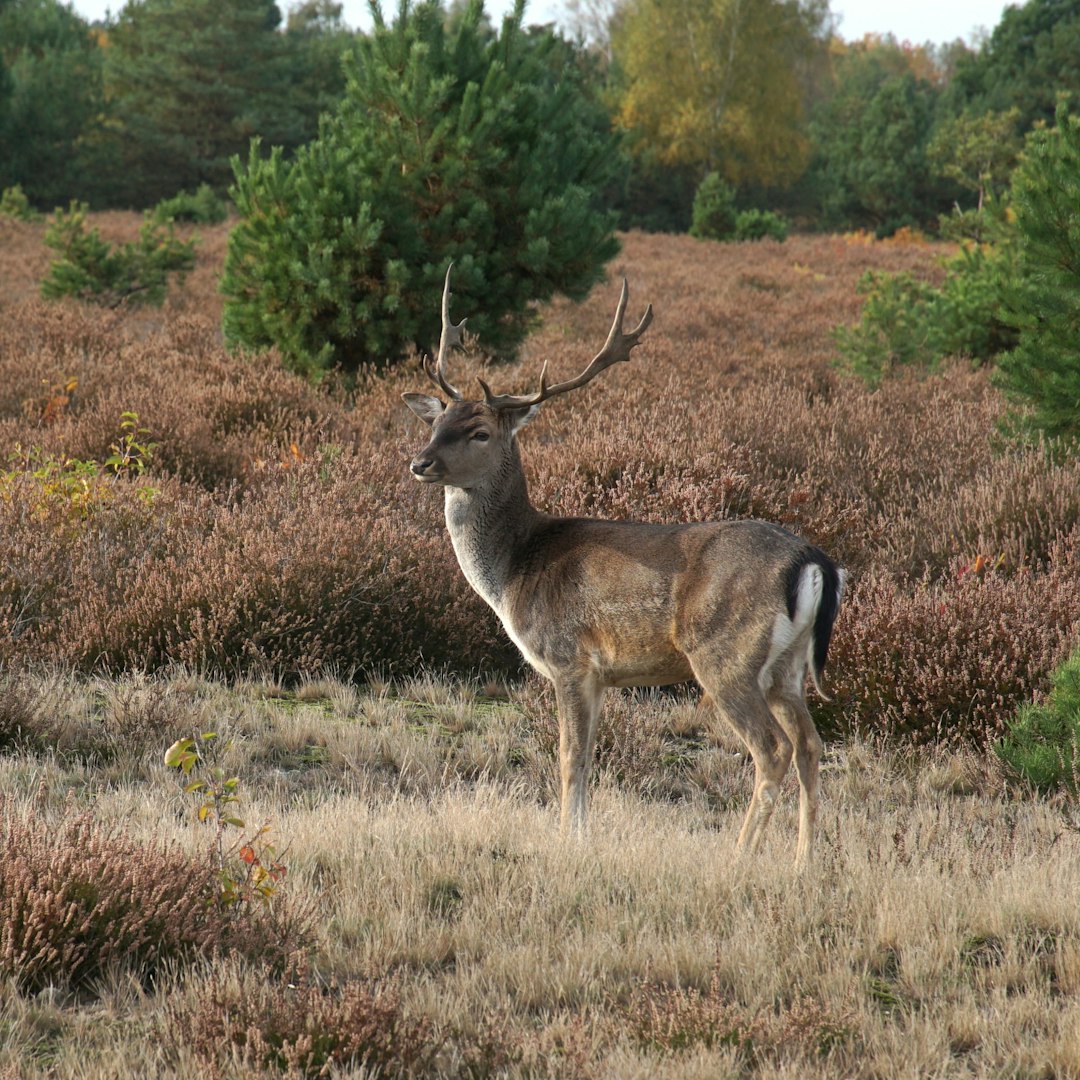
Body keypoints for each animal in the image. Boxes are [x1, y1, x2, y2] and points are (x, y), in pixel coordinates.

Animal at [403, 267, 844, 869]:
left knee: (771, 749)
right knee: (809, 746)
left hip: (726, 653)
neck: (514, 568)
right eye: (439, 421)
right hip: (789, 666)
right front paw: (581, 837)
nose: (420, 462)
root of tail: (813, 560)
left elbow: (570, 759)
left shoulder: (569, 658)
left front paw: (566, 843)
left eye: (481, 432)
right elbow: (589, 758)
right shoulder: (601, 675)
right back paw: (802, 863)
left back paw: (738, 857)